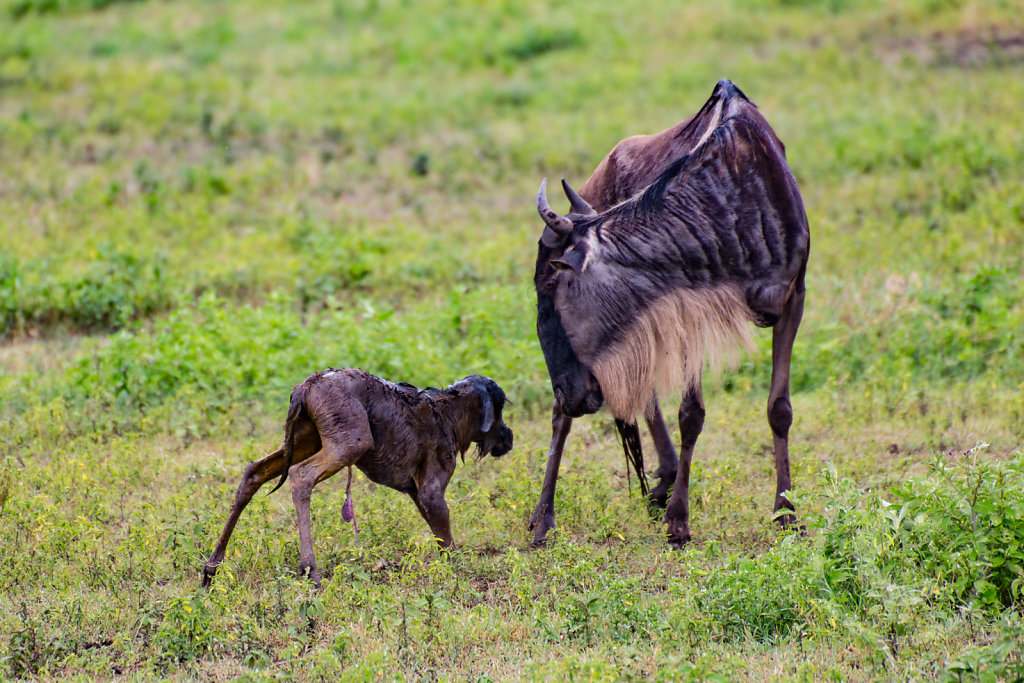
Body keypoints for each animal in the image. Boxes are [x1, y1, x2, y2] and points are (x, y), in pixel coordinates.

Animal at [201, 368, 512, 589]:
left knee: (254, 471)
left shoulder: (416, 491)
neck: (450, 417)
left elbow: (437, 533)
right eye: (500, 408)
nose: (508, 437)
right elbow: (447, 544)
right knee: (300, 476)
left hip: (307, 439)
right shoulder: (431, 491)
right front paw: (457, 572)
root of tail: (305, 386)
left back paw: (210, 570)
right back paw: (311, 571)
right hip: (349, 443)